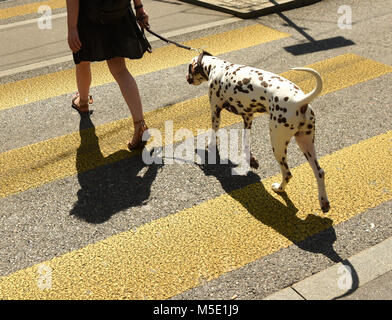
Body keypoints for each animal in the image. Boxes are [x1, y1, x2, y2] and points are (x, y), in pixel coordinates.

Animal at [185, 51, 330, 214]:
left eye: (189, 69)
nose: (187, 78)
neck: (217, 66)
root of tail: (300, 101)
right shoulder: (247, 117)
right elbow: (245, 141)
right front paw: (250, 158)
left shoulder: (215, 111)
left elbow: (213, 133)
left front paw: (210, 146)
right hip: (306, 144)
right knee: (319, 172)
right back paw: (323, 201)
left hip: (278, 143)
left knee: (287, 173)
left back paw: (279, 188)